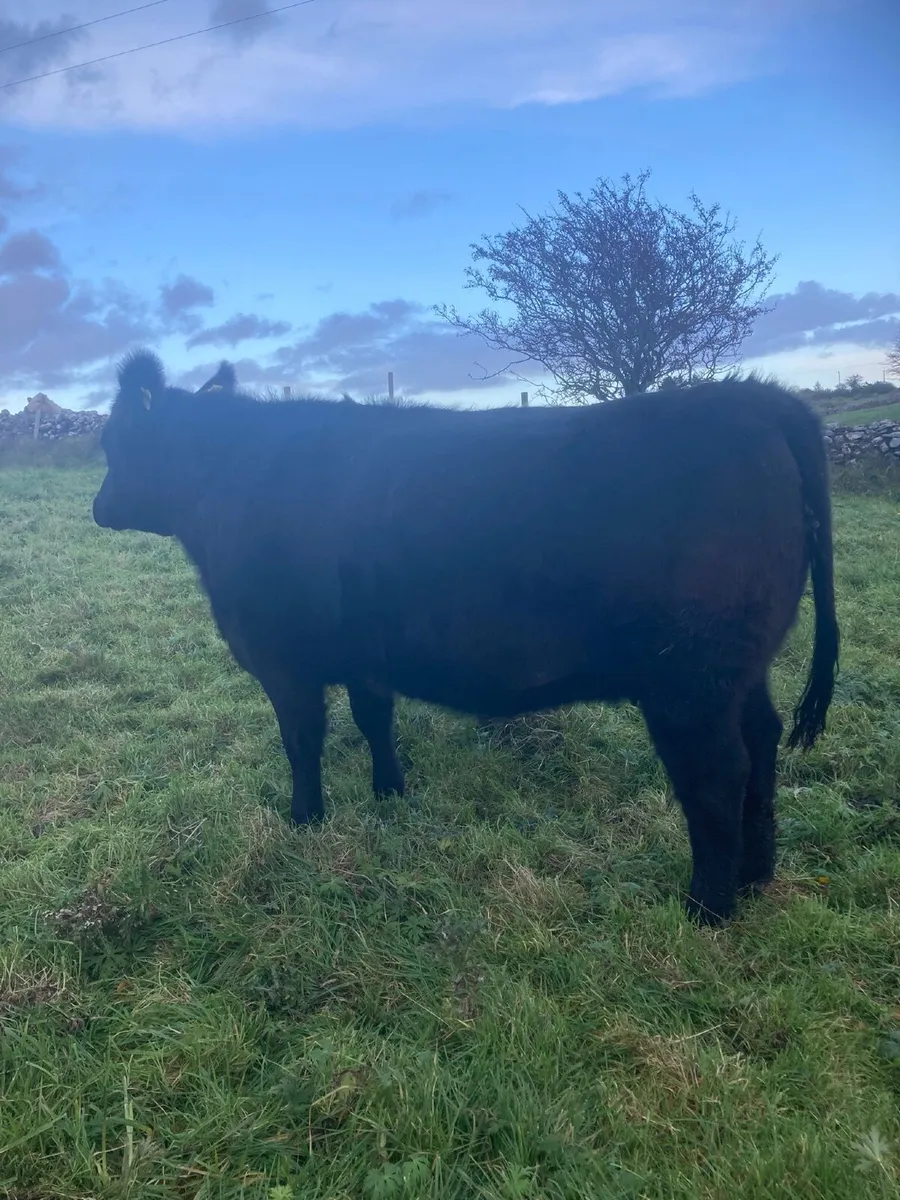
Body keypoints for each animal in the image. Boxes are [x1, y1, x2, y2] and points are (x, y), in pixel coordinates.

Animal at [92, 350, 839, 925]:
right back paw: (756, 875)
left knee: (716, 774)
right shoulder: (366, 653)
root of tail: (756, 399)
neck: (229, 482)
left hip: (689, 680)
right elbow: (374, 719)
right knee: (763, 741)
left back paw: (707, 908)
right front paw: (391, 794)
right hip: (740, 669)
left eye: (116, 443)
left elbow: (302, 741)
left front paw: (304, 820)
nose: (98, 507)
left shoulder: (283, 660)